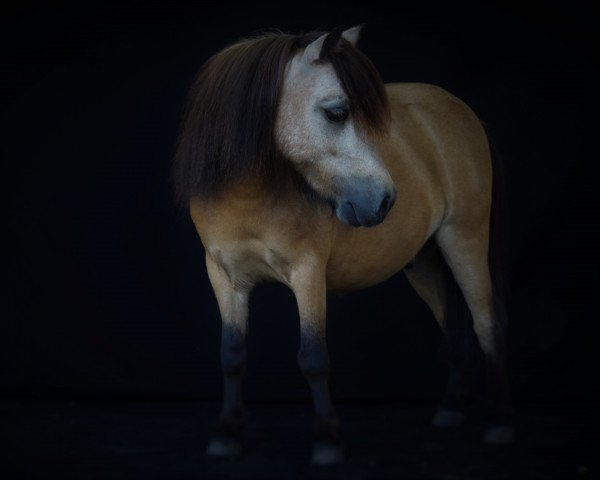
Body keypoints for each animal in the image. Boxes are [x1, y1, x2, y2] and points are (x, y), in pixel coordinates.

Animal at [171, 25, 512, 464]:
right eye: (337, 112)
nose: (384, 201)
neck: (249, 198)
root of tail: (460, 111)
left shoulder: (307, 272)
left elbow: (313, 358)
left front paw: (327, 441)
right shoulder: (224, 278)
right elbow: (231, 356)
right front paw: (226, 435)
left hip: (464, 240)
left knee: (487, 324)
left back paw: (501, 423)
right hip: (424, 262)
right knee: (453, 327)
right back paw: (451, 409)